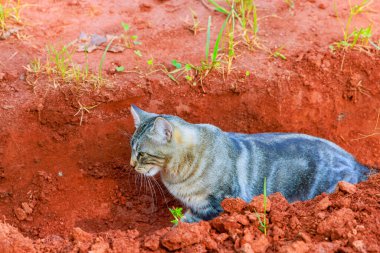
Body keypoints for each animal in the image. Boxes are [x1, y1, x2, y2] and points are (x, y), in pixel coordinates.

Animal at [129, 104, 370, 221]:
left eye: (141, 153)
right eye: (131, 147)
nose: (131, 164)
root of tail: (358, 163)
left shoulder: (218, 204)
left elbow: (185, 223)